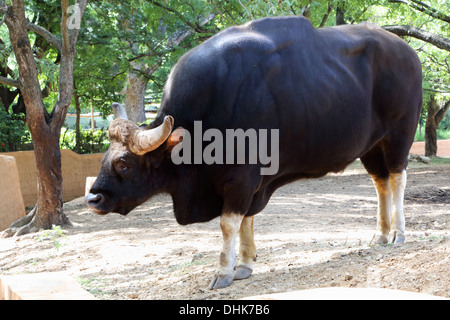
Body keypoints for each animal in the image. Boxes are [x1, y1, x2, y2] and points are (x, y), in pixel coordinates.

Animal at [85, 16, 422, 290]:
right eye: (104, 158)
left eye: (124, 163)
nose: (93, 198)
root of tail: (408, 53)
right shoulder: (251, 182)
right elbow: (246, 218)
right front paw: (245, 264)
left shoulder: (241, 177)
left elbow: (228, 223)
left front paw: (223, 272)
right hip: (372, 145)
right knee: (380, 183)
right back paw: (380, 234)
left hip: (399, 136)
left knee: (397, 179)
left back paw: (398, 233)